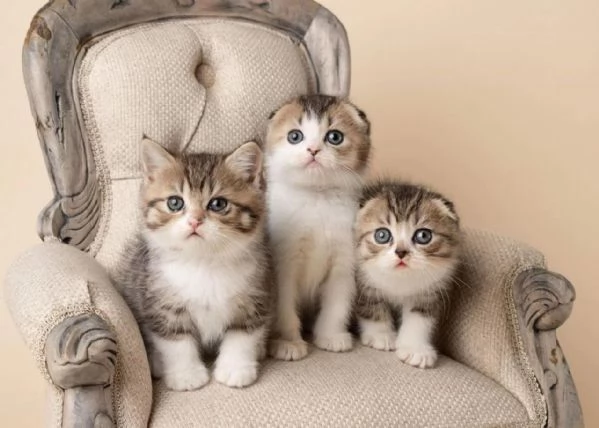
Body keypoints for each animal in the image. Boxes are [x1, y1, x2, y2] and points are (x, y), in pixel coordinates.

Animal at [114, 139, 272, 390]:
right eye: (175, 203)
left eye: (218, 204)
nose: (195, 221)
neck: (203, 262)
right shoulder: (162, 303)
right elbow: (175, 341)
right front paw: (186, 375)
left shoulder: (255, 297)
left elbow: (242, 335)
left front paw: (235, 369)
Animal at [266, 94, 370, 362]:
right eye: (295, 136)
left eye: (335, 137)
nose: (313, 149)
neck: (317, 198)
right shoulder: (283, 263)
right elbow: (284, 305)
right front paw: (288, 342)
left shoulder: (344, 259)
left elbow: (337, 302)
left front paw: (331, 336)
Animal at [354, 181, 462, 368]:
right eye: (382, 235)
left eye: (423, 235)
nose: (401, 252)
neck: (400, 281)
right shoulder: (363, 280)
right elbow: (371, 306)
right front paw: (380, 336)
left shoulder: (428, 293)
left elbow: (419, 319)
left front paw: (416, 349)